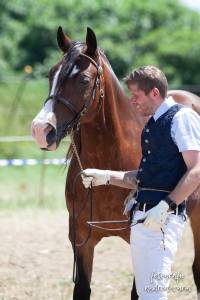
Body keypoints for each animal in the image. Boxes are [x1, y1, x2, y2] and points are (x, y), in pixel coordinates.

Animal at [31, 27, 200, 298]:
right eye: (51, 74)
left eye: (84, 80)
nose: (40, 130)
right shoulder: (81, 239)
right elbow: (82, 289)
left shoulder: (138, 239)